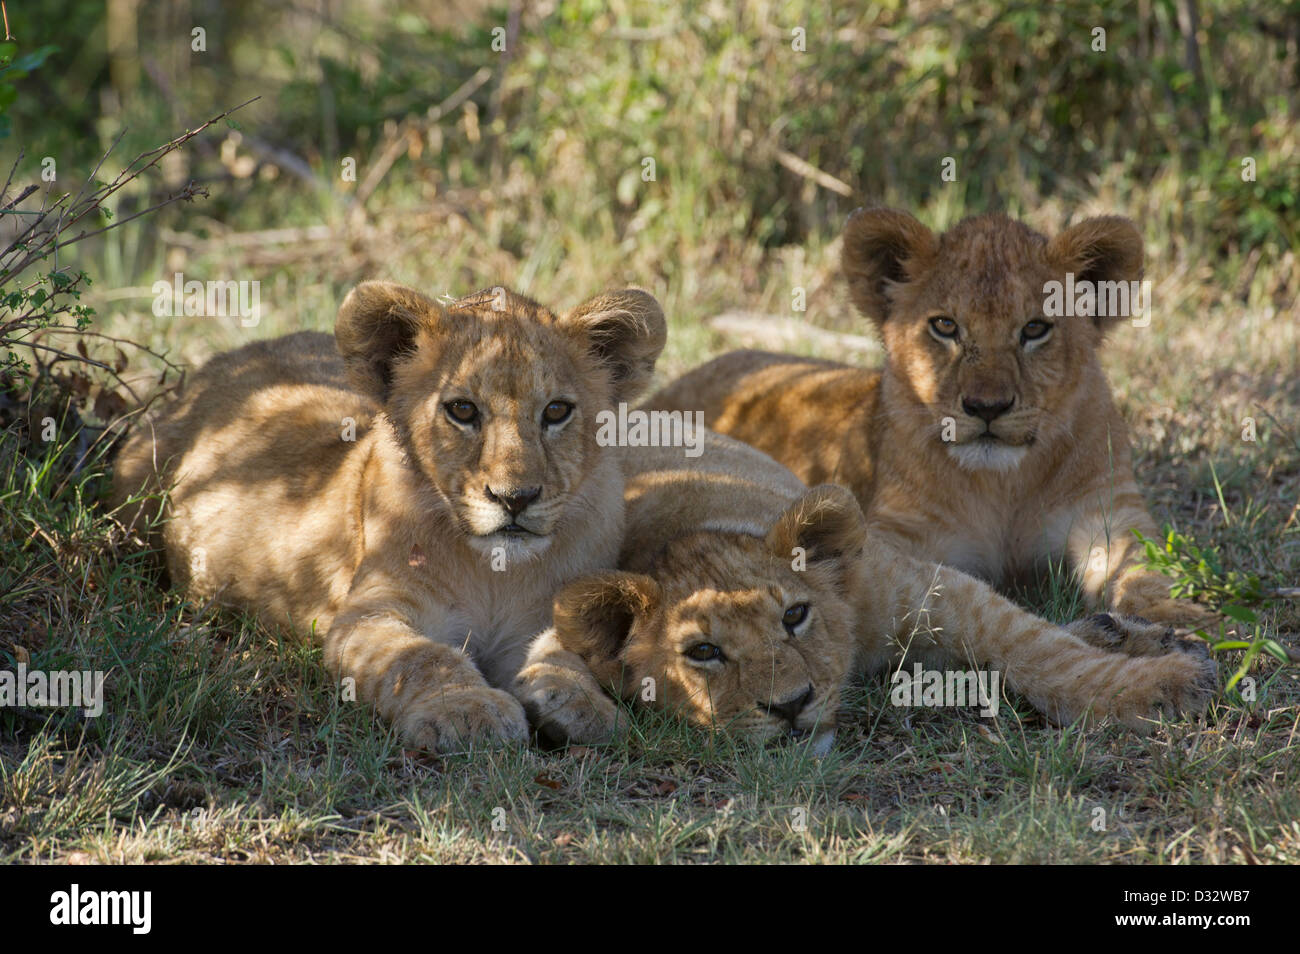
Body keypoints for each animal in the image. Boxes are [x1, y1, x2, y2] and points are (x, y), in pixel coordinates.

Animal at [111, 282, 667, 751]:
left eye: (556, 411)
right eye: (462, 410)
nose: (515, 498)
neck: (495, 571)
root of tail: (224, 359)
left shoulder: (548, 612)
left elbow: (564, 654)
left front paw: (582, 703)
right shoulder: (367, 613)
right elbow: (423, 657)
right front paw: (468, 710)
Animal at [511, 432, 1216, 748]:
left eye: (796, 616)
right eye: (702, 654)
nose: (792, 705)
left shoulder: (927, 587)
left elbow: (1039, 650)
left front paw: (1163, 687)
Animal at [645, 209, 1209, 627]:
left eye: (1034, 329)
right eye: (945, 327)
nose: (986, 407)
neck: (1004, 486)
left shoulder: (1109, 507)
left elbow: (1145, 566)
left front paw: (1174, 615)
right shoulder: (900, 530)